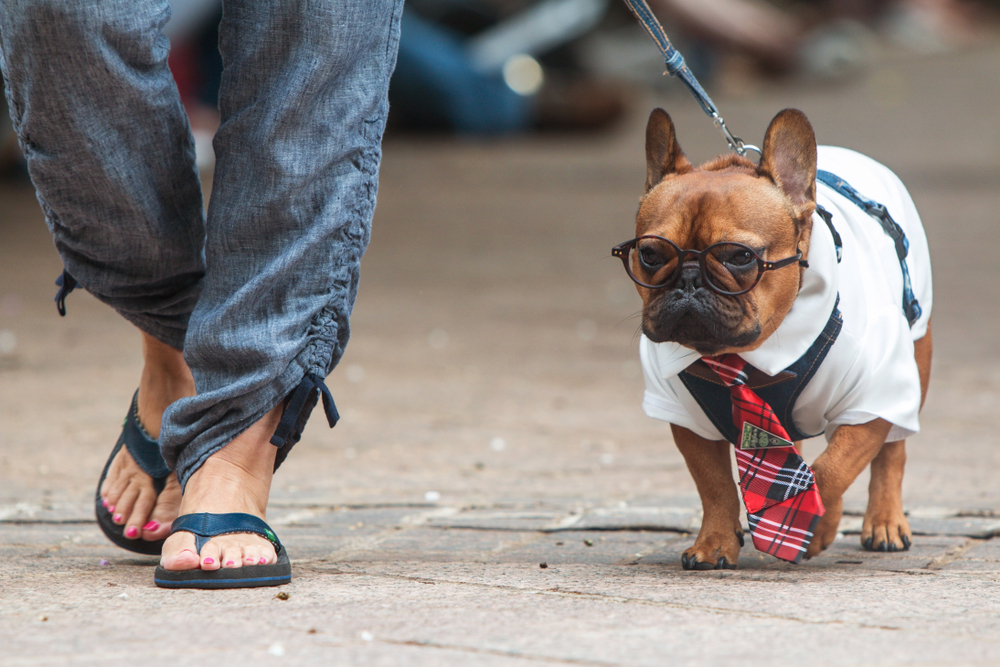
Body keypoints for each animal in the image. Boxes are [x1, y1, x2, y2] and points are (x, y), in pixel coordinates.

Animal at [620, 109, 932, 568]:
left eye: (739, 257)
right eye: (650, 255)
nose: (688, 280)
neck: (746, 352)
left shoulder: (871, 405)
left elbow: (832, 470)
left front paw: (811, 526)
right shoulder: (687, 419)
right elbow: (714, 485)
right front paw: (715, 543)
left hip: (914, 361)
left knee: (892, 451)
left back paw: (885, 523)